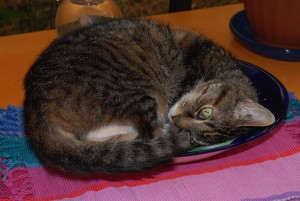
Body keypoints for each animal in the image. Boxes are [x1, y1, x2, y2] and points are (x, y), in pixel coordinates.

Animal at [24, 17, 276, 173]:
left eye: (197, 138)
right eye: (205, 112)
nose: (176, 121)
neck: (221, 68)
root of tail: (35, 109)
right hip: (135, 91)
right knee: (149, 132)